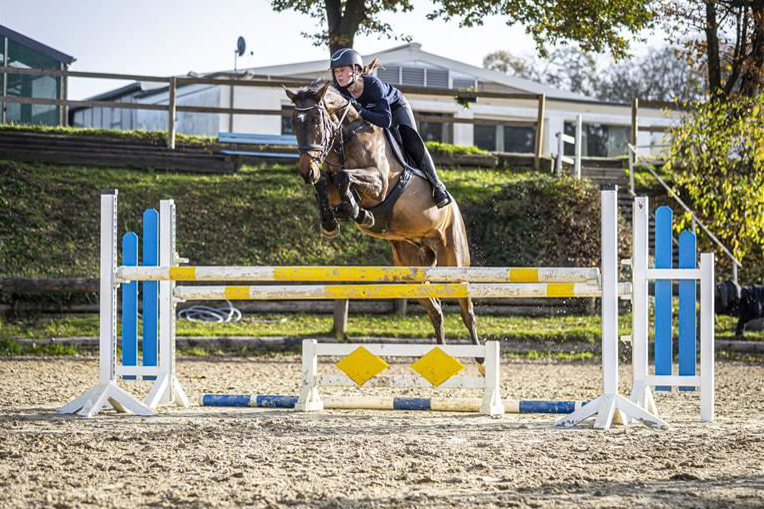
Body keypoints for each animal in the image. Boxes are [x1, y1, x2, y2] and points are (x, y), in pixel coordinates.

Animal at [284, 79, 480, 352]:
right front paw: (332, 221)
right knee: (436, 311)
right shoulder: (331, 181)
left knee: (466, 311)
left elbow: (345, 177)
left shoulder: (379, 183)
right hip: (411, 269)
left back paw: (479, 355)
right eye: (293, 122)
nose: (306, 171)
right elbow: (327, 182)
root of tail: (454, 211)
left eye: (315, 120)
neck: (347, 135)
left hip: (454, 261)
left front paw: (359, 212)